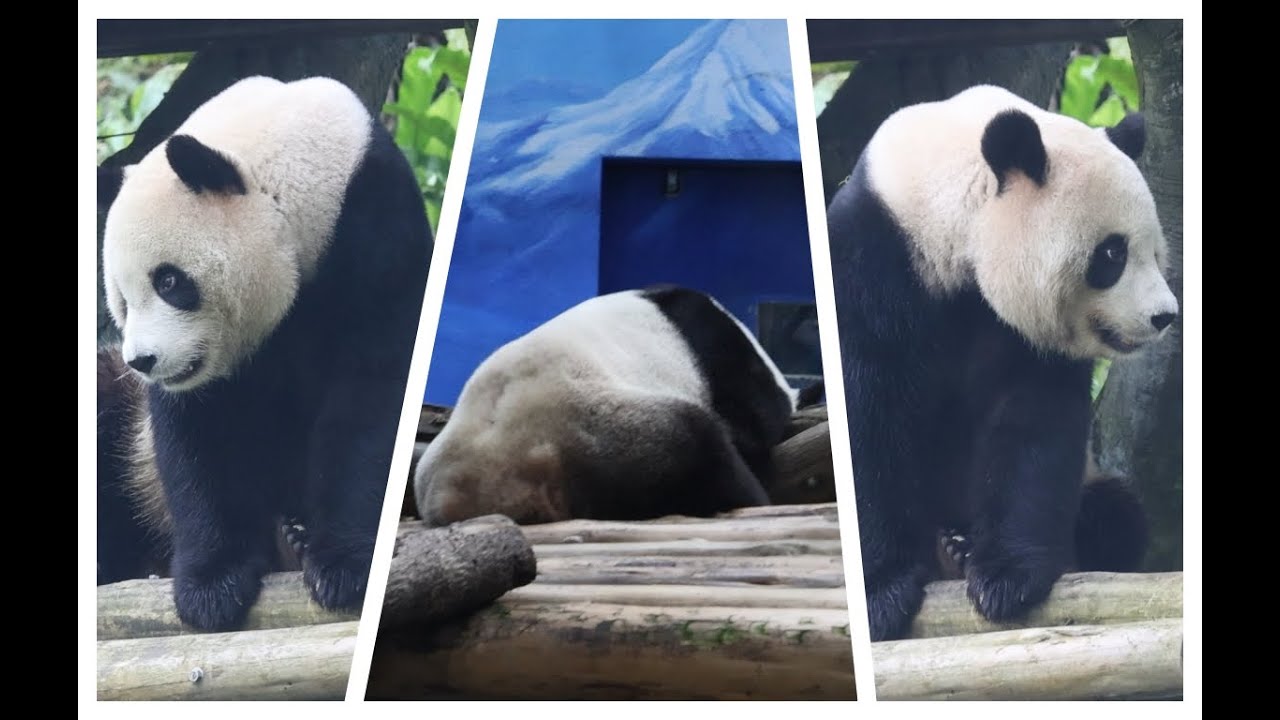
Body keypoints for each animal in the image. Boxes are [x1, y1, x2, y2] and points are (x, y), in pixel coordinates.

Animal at [96, 76, 431, 631]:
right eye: (122, 300)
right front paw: (212, 587)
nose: (142, 362)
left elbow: (373, 398)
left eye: (169, 282)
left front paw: (342, 566)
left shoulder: (380, 241)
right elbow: (198, 434)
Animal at [826, 85, 1178, 641]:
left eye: (1157, 254)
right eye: (1112, 254)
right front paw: (882, 592)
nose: (1165, 316)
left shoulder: (1027, 337)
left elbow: (1032, 426)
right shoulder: (869, 267)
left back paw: (965, 549)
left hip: (1093, 481)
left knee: (1119, 518)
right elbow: (865, 419)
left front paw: (1007, 578)